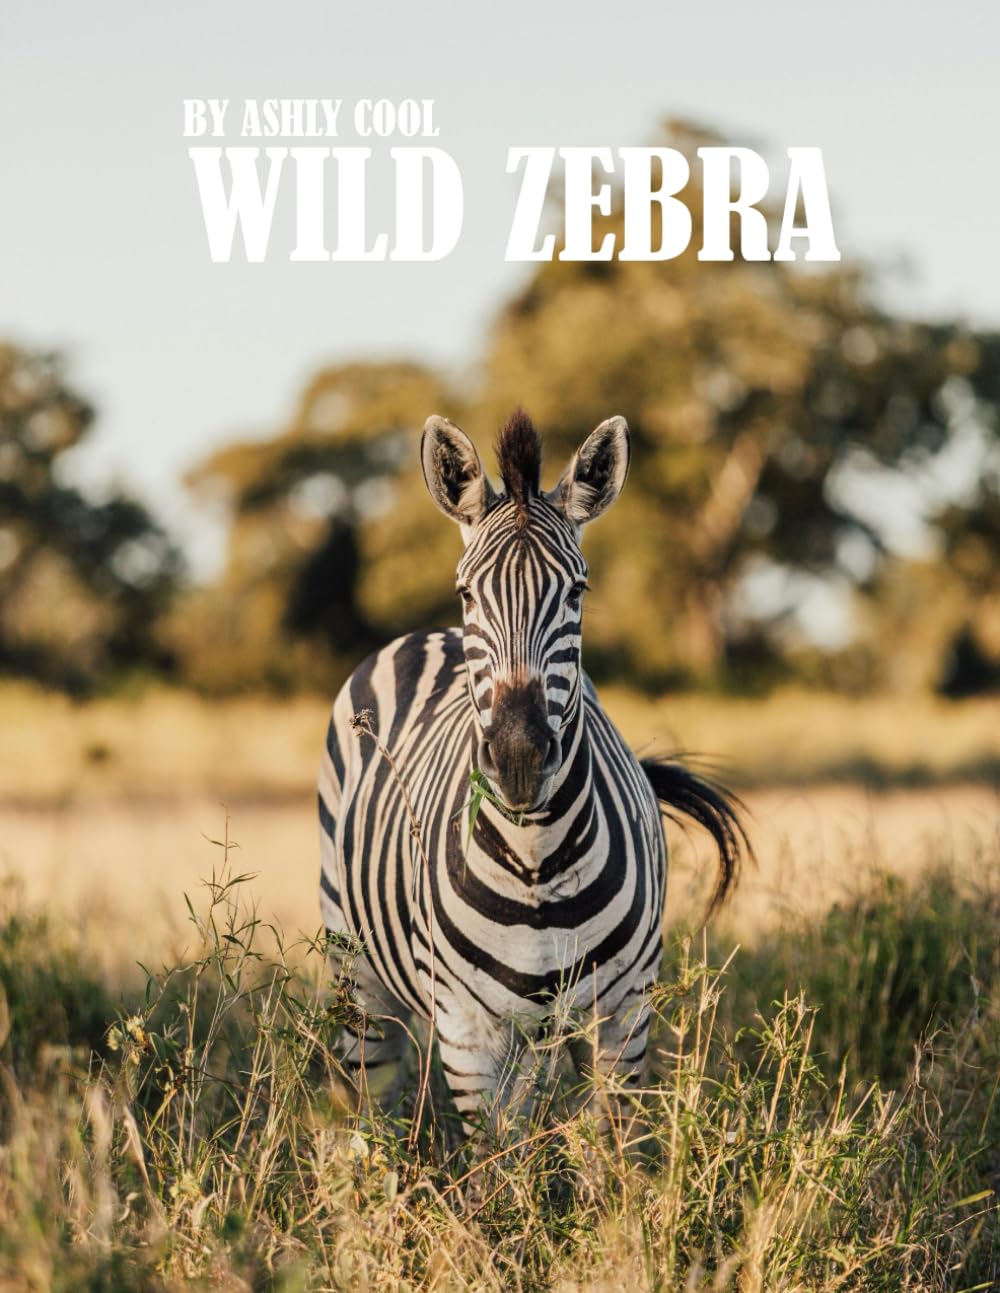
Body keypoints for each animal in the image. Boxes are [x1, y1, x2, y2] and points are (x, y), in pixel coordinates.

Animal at [318, 409, 747, 1133]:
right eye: (466, 591)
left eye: (578, 589)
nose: (519, 759)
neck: (538, 860)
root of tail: (425, 636)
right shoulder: (468, 1036)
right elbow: (497, 1164)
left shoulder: (623, 1021)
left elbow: (610, 1152)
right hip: (357, 977)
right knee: (367, 1112)